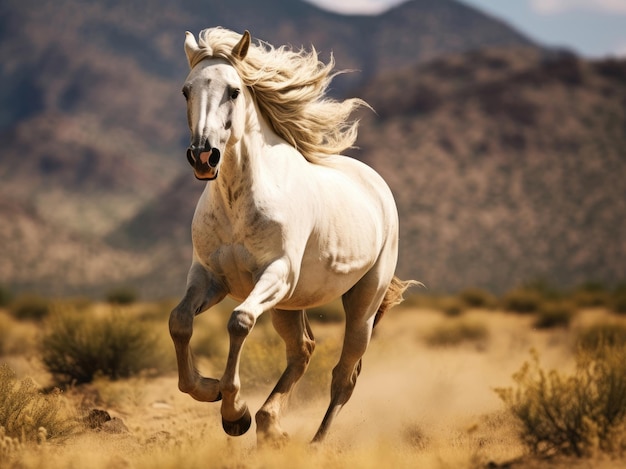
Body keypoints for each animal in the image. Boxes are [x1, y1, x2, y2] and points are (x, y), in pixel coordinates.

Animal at [169, 27, 414, 444]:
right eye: (187, 91)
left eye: (234, 91)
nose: (203, 157)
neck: (240, 199)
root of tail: (376, 184)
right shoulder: (209, 277)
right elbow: (180, 320)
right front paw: (210, 389)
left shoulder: (277, 273)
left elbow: (239, 322)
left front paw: (234, 413)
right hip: (289, 305)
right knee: (303, 350)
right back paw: (269, 423)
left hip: (361, 303)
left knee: (343, 376)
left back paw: (313, 442)